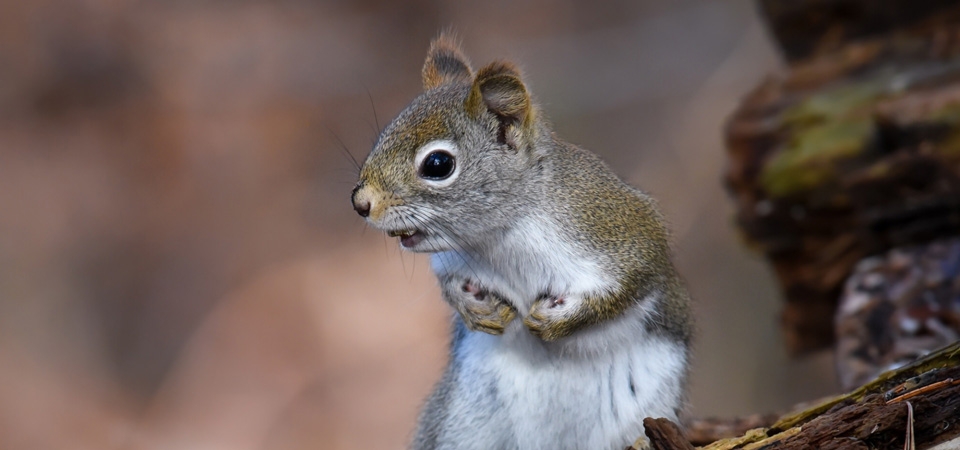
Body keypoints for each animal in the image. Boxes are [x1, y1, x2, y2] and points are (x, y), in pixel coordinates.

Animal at [350, 33, 688, 448]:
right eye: (384, 135)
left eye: (438, 165)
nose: (361, 203)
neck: (499, 237)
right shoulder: (452, 260)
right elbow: (449, 284)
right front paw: (474, 307)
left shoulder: (624, 233)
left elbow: (631, 284)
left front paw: (557, 322)